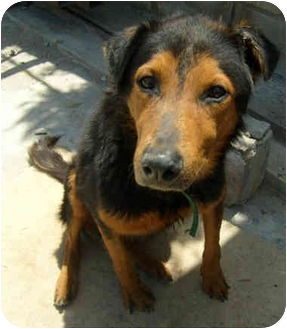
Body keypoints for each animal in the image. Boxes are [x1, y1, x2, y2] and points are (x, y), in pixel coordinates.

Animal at [29, 14, 280, 312]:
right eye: (147, 82)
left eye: (217, 92)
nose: (159, 167)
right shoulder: (103, 214)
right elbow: (119, 259)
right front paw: (134, 292)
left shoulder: (214, 199)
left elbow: (214, 245)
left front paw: (213, 277)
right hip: (76, 184)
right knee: (74, 235)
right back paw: (67, 282)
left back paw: (151, 263)